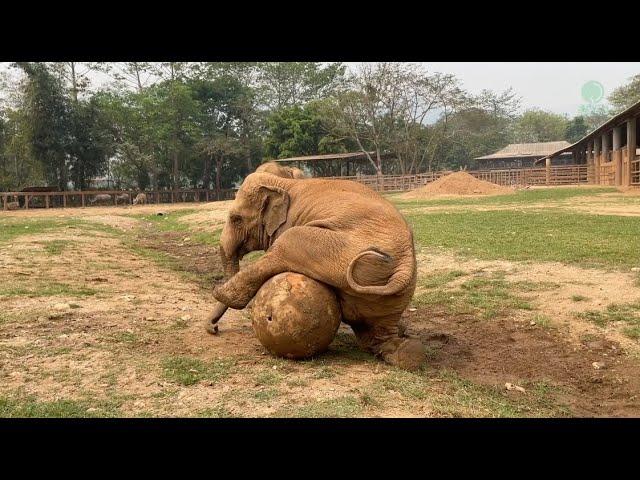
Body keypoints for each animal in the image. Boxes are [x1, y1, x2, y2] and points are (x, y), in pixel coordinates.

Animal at [205, 169, 424, 372]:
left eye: (236, 219)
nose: (214, 329)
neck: (283, 183)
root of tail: (404, 265)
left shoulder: (287, 225)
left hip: (335, 248)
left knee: (289, 242)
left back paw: (223, 294)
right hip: (390, 293)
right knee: (376, 333)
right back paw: (408, 353)